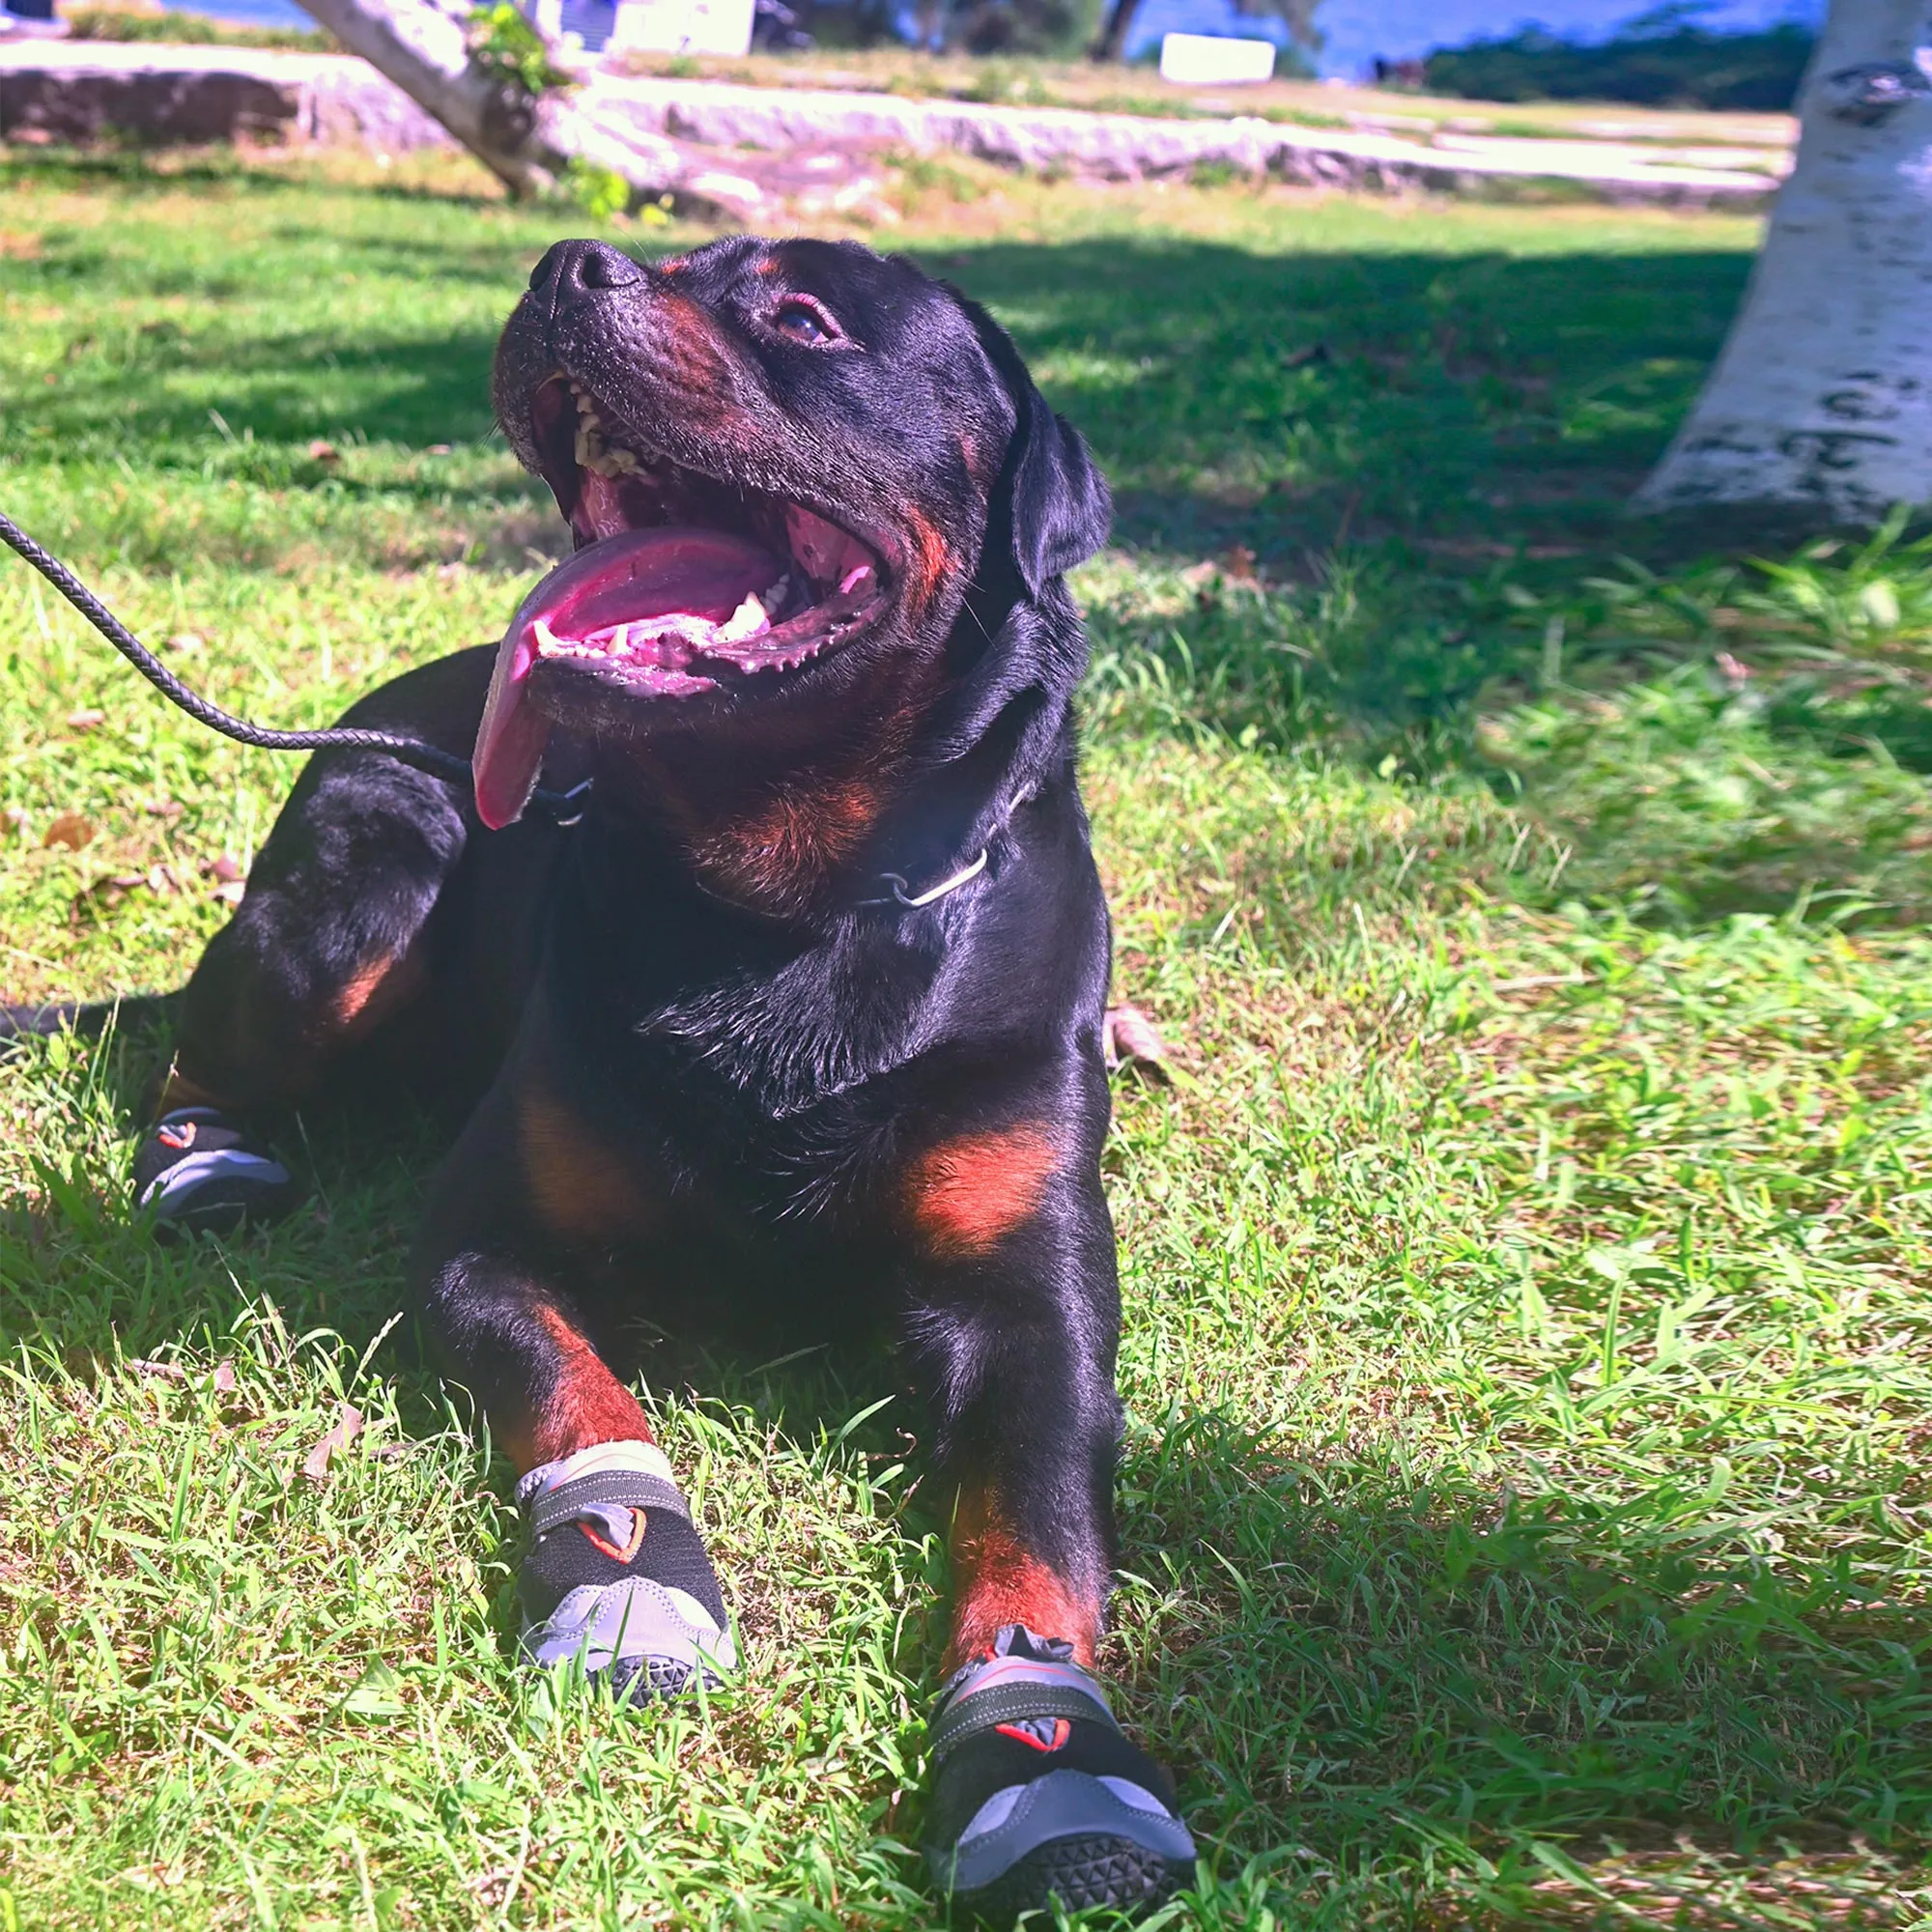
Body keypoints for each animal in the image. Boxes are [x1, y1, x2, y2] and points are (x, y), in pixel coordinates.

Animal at [109, 238, 1206, 1917]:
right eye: (682, 262)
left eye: (805, 318)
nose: (570, 266)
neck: (789, 911)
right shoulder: (486, 1241)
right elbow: (579, 1400)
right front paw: (627, 1578)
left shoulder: (1041, 1305)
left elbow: (1037, 1535)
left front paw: (1048, 1752)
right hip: (353, 895)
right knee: (201, 1027)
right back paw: (202, 1151)